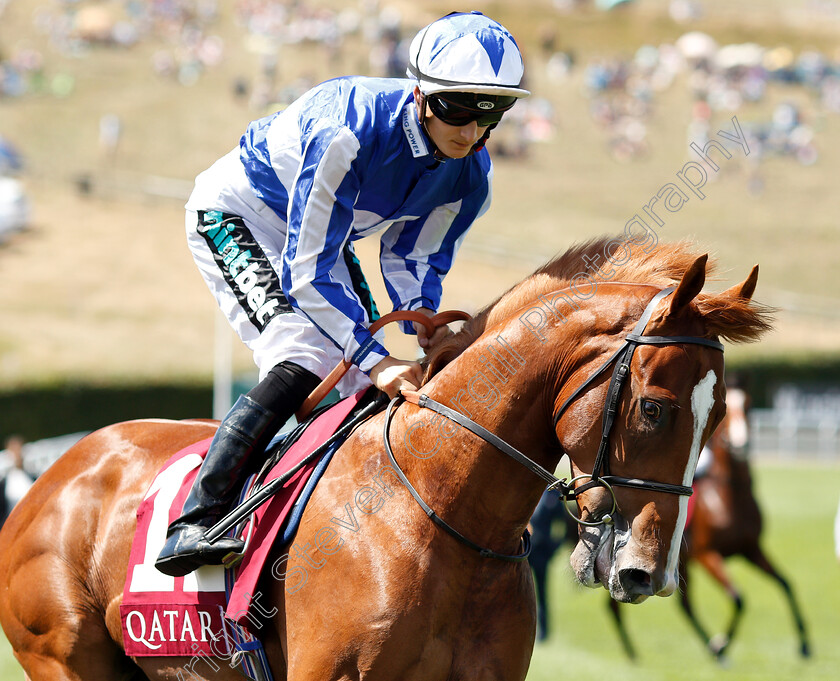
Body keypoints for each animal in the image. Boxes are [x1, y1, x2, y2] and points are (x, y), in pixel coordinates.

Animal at [0, 236, 772, 676]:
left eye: (719, 417)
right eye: (655, 407)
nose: (651, 573)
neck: (440, 512)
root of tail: (48, 478)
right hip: (63, 654)